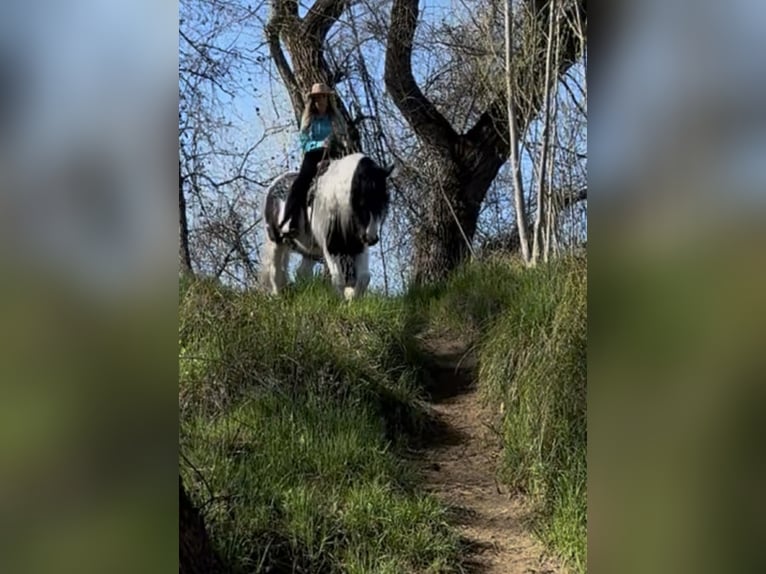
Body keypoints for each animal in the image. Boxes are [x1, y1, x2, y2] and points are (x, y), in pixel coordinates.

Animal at [261, 152, 394, 299]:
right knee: (275, 270)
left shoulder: (358, 246)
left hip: (309, 251)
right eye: (362, 201)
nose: (372, 238)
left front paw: (352, 298)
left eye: (382, 202)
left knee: (302, 273)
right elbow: (338, 279)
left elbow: (364, 277)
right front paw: (343, 301)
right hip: (276, 241)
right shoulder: (331, 247)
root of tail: (274, 185)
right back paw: (278, 295)